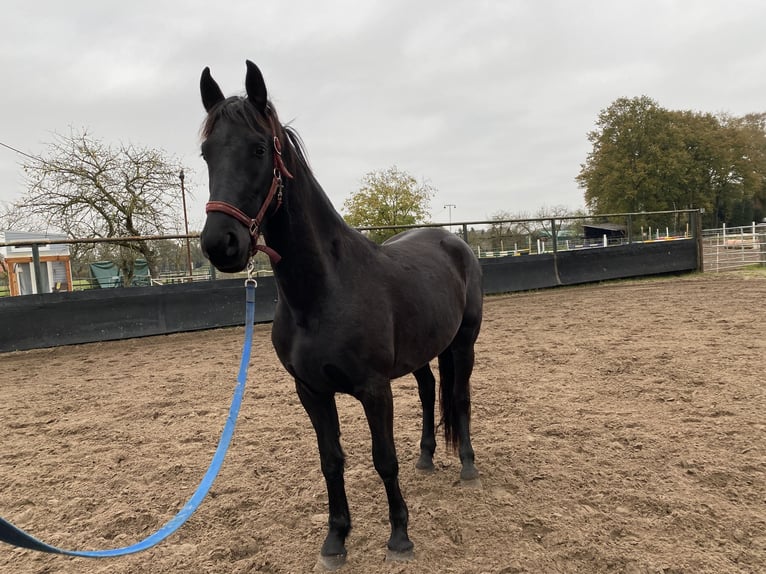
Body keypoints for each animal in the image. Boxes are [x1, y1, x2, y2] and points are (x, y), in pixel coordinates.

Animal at [201, 62, 484, 568]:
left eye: (259, 148)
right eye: (206, 153)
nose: (221, 244)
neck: (322, 293)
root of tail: (454, 242)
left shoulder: (373, 389)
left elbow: (383, 458)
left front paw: (399, 537)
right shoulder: (311, 391)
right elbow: (330, 460)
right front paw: (335, 541)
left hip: (464, 343)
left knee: (460, 396)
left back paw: (467, 465)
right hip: (420, 353)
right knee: (430, 390)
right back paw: (427, 457)